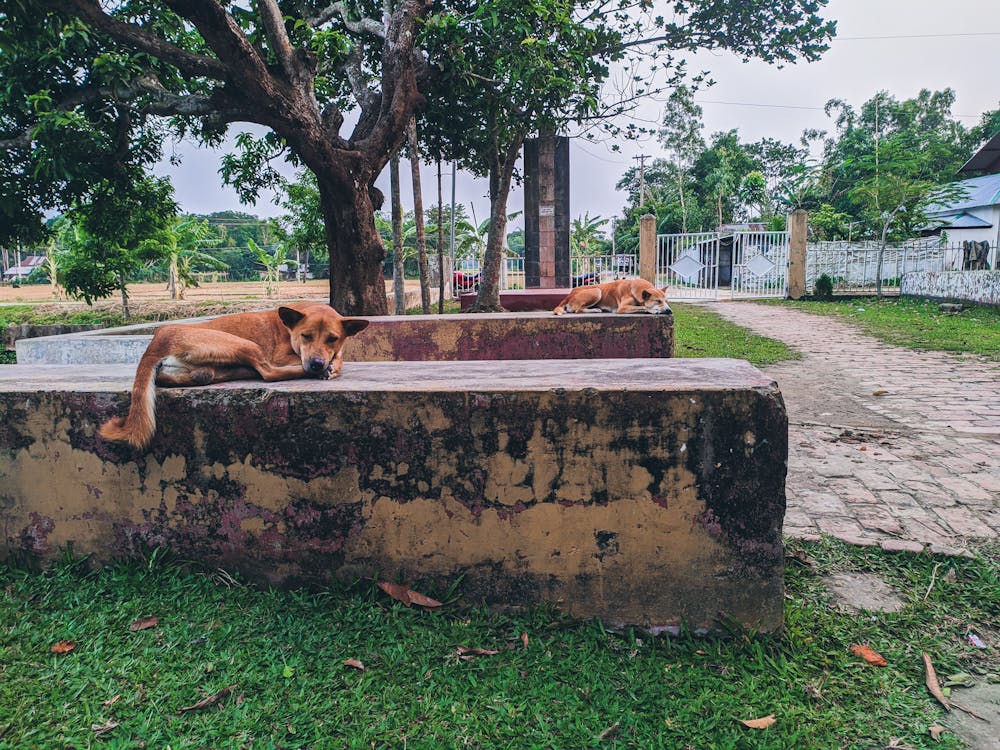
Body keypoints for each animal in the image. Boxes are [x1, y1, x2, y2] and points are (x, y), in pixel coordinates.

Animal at [99, 302, 368, 450]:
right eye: (306, 336)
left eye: (332, 338)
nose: (316, 364)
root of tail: (156, 340)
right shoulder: (285, 356)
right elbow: (337, 360)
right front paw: (332, 366)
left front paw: (332, 362)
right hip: (244, 344)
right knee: (267, 372)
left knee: (200, 375)